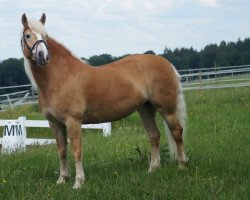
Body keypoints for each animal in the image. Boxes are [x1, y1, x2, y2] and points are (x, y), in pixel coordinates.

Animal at [20, 13, 188, 188]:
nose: (43, 56)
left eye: (45, 36)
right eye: (27, 36)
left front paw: (78, 182)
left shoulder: (73, 121)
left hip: (167, 109)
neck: (59, 77)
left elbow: (76, 150)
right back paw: (153, 169)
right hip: (146, 109)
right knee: (154, 136)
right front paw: (62, 179)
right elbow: (62, 151)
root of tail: (166, 63)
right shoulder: (55, 124)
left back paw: (182, 165)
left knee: (177, 132)